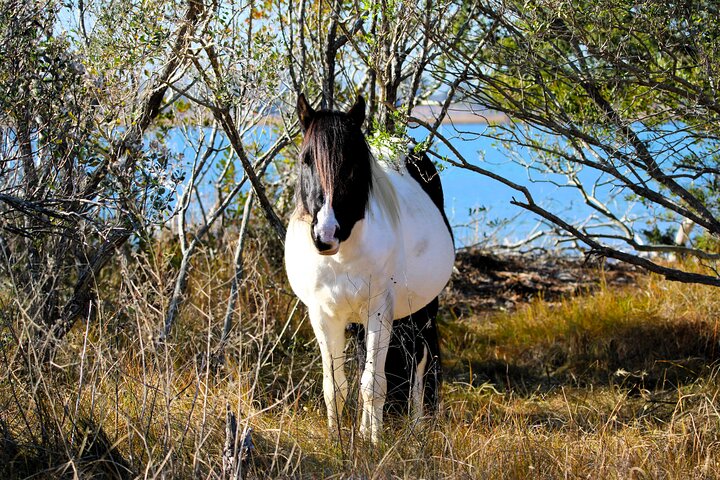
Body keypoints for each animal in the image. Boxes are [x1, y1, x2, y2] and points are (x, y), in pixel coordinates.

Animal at [284, 93, 455, 444]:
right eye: (306, 159)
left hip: (423, 309)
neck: (341, 254)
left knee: (420, 360)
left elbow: (373, 384)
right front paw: (339, 441)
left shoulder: (380, 311)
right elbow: (336, 386)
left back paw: (416, 428)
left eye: (351, 163)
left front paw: (375, 443)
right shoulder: (323, 316)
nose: (325, 234)